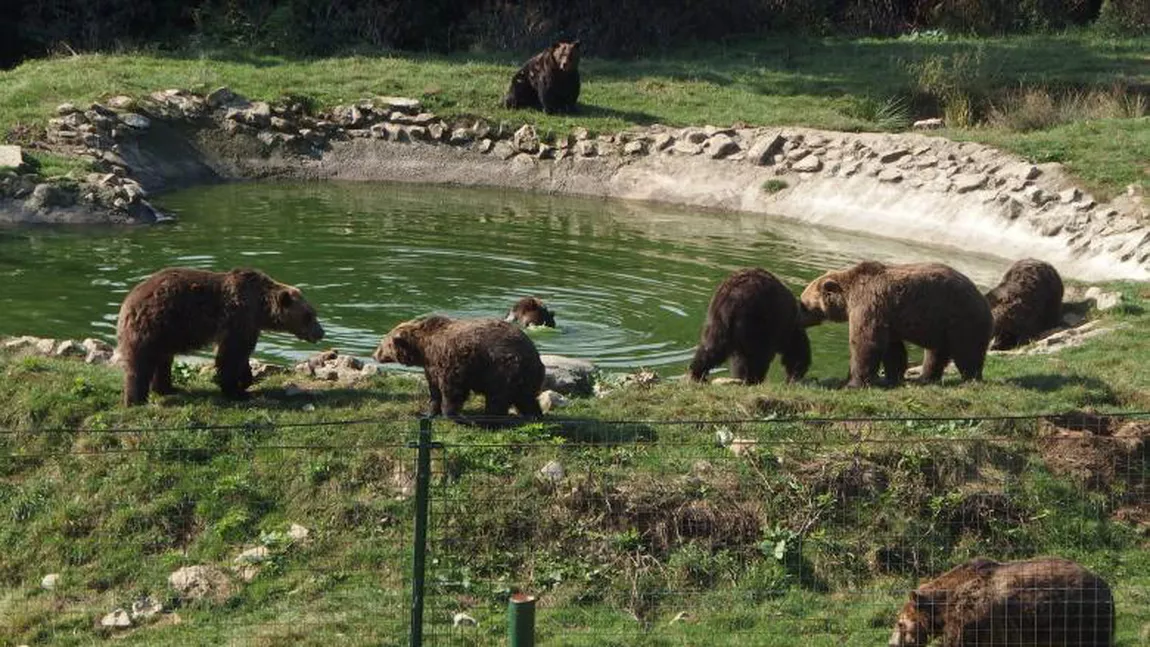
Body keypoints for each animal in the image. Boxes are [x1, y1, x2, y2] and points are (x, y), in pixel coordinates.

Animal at [114, 268, 324, 404]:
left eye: (313, 313)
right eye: (308, 316)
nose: (321, 332)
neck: (260, 307)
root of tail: (127, 303)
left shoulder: (248, 325)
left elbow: (241, 354)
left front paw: (245, 381)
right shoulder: (238, 318)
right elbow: (231, 355)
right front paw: (235, 390)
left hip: (165, 333)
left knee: (163, 360)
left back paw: (167, 388)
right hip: (153, 324)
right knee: (140, 364)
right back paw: (135, 400)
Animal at [372, 314, 542, 420]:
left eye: (382, 344)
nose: (374, 355)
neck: (423, 348)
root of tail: (535, 354)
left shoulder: (453, 361)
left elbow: (452, 389)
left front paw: (450, 413)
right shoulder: (431, 365)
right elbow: (434, 390)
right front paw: (428, 412)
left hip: (504, 368)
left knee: (497, 397)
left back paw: (488, 418)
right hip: (524, 376)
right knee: (526, 398)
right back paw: (534, 415)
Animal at [685, 268, 814, 383]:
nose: (795, 377)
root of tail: (731, 298)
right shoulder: (777, 327)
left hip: (718, 318)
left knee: (712, 346)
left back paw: (697, 373)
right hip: (753, 317)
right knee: (755, 354)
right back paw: (753, 378)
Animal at [795, 260, 993, 388]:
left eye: (804, 304)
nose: (798, 315)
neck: (848, 298)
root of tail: (983, 299)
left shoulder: (868, 305)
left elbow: (865, 343)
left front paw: (852, 382)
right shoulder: (887, 318)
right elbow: (892, 349)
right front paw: (891, 377)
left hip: (961, 318)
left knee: (967, 351)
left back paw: (971, 379)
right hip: (941, 327)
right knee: (936, 353)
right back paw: (925, 378)